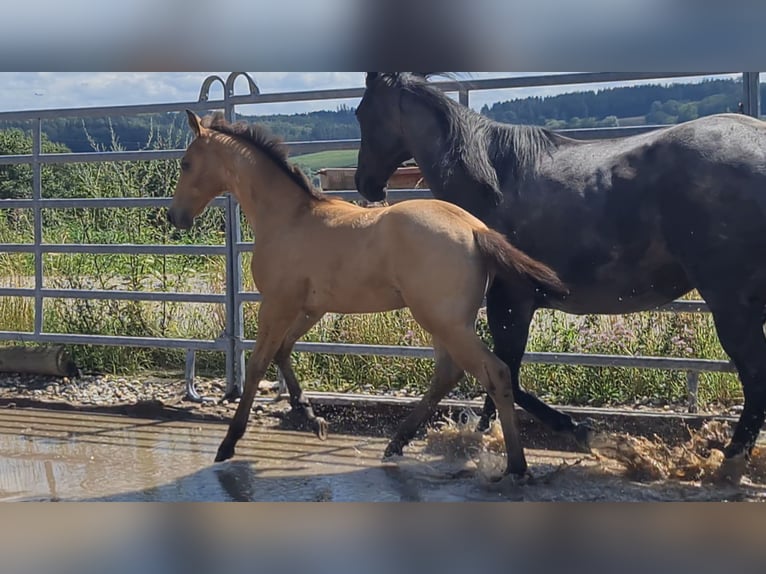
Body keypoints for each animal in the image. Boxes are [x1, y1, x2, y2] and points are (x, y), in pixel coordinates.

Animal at [167, 110, 568, 477]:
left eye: (186, 163)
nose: (175, 217)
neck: (289, 217)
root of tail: (474, 229)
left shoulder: (276, 304)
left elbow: (257, 365)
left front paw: (229, 443)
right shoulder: (310, 307)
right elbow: (284, 352)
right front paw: (312, 418)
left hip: (445, 322)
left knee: (495, 373)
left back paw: (516, 466)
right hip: (444, 321)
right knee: (449, 372)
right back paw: (396, 443)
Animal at [354, 72, 766, 482]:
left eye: (361, 112)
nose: (366, 184)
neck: (491, 181)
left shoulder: (510, 302)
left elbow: (506, 374)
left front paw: (583, 435)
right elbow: (502, 376)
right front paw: (485, 436)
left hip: (730, 303)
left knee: (755, 376)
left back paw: (727, 463)